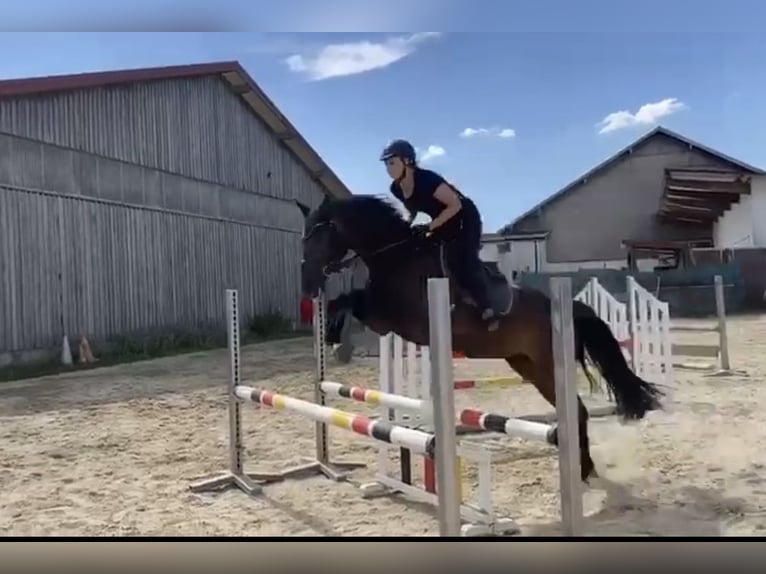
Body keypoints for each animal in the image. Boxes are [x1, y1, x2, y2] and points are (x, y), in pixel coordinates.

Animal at [296, 196, 668, 484]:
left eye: (318, 237)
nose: (308, 284)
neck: (397, 258)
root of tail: (563, 305)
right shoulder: (384, 315)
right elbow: (343, 300)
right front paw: (332, 337)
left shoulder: (397, 319)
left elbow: (350, 302)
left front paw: (338, 342)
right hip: (528, 366)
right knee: (576, 410)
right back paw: (584, 467)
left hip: (549, 364)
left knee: (577, 410)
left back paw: (582, 469)